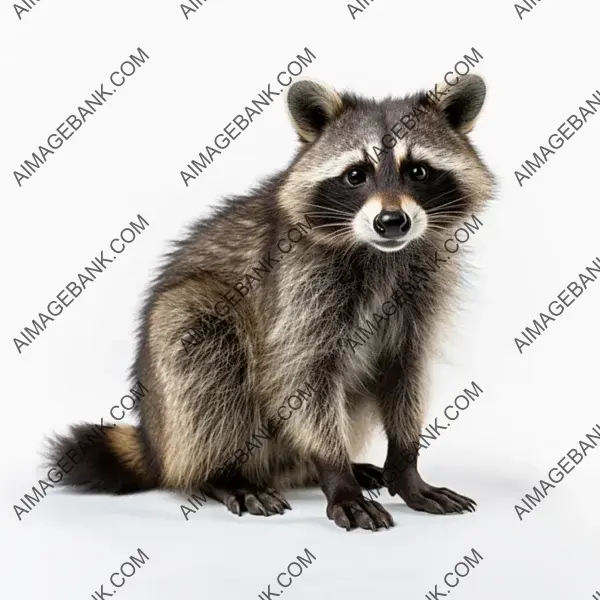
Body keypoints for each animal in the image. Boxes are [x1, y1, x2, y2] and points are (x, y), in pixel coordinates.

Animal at [45, 74, 492, 528]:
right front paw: (336, 471)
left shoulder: (421, 294)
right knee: (205, 353)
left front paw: (405, 464)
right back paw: (226, 474)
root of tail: (159, 448)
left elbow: (406, 372)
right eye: (356, 175)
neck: (381, 253)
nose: (391, 222)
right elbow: (301, 375)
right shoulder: (296, 289)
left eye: (417, 170)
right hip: (181, 344)